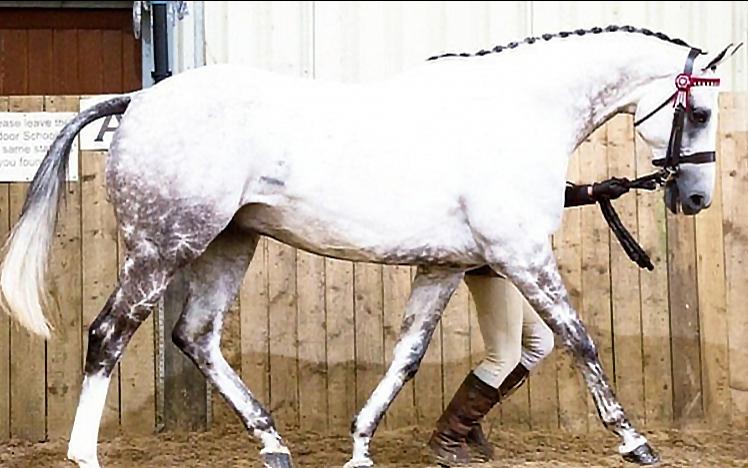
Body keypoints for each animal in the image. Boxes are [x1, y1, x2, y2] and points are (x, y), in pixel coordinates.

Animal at [0, 25, 738, 468]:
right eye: (699, 111)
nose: (696, 198)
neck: (518, 112)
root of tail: (135, 101)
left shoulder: (444, 267)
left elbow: (406, 357)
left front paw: (359, 446)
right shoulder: (522, 256)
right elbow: (581, 340)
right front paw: (635, 441)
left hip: (229, 244)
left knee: (196, 336)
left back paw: (273, 444)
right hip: (164, 245)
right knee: (109, 334)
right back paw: (85, 454)